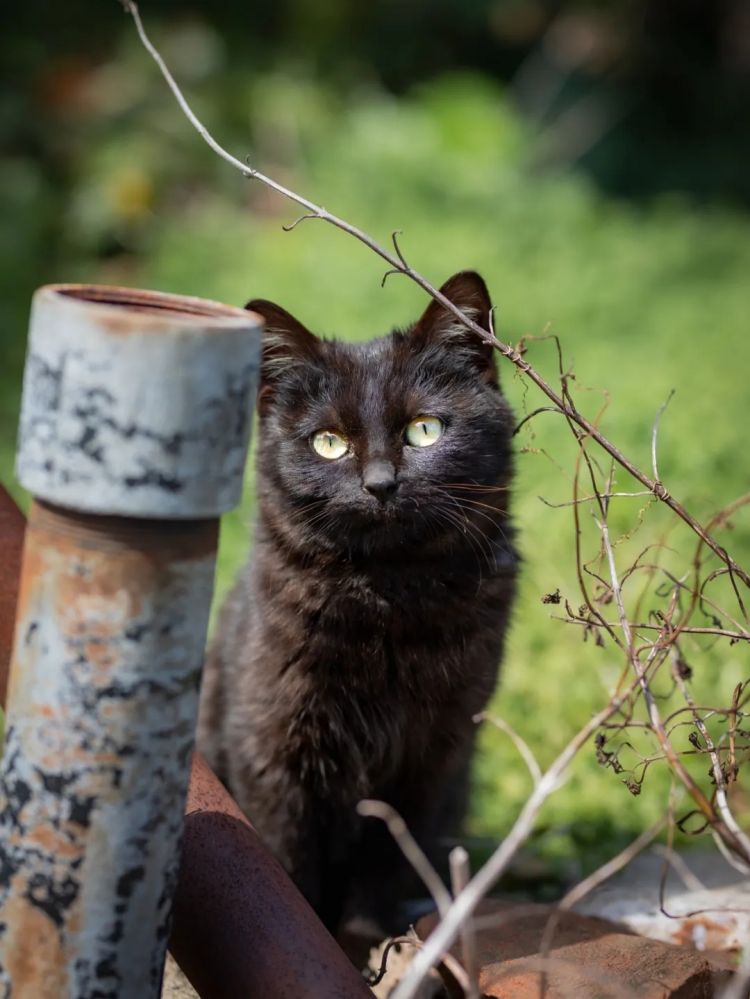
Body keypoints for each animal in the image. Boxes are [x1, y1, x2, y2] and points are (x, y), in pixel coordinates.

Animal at [197, 270, 520, 932]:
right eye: (328, 442)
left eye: (425, 429)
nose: (379, 484)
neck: (388, 603)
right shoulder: (273, 751)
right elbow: (285, 858)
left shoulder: (431, 759)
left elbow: (386, 860)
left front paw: (367, 936)